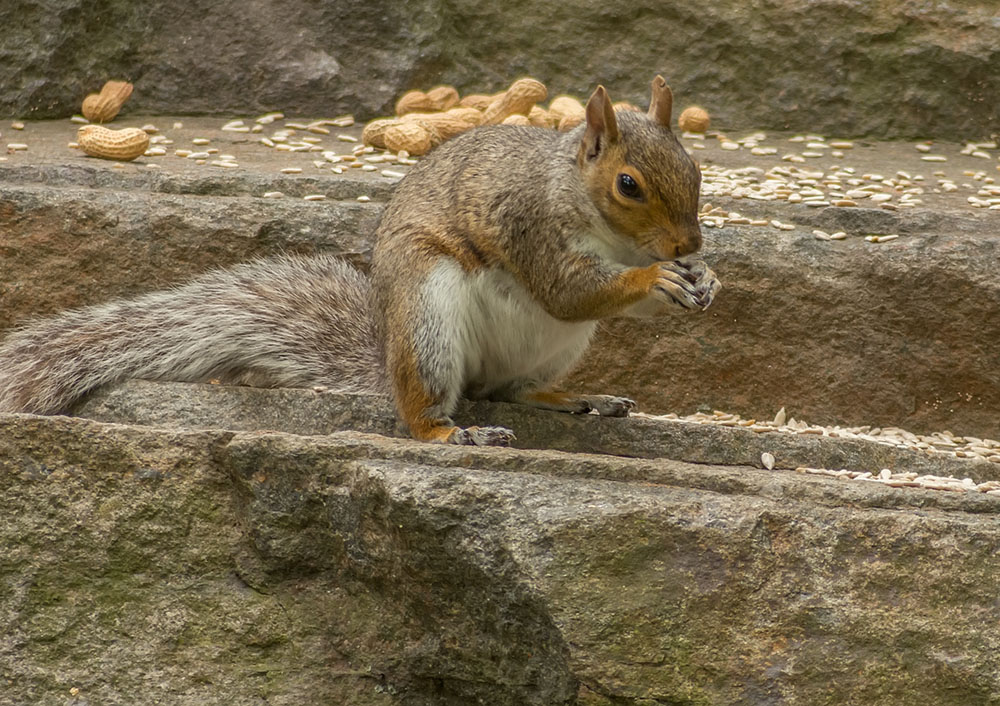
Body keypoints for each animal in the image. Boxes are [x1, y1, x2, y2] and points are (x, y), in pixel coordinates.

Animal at [0, 74, 720, 442]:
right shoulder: (529, 227)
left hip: (557, 348)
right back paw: (449, 431)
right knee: (427, 407)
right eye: (628, 185)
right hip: (429, 317)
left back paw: (575, 397)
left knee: (509, 389)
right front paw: (656, 277)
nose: (689, 245)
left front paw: (702, 279)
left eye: (695, 168)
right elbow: (568, 292)